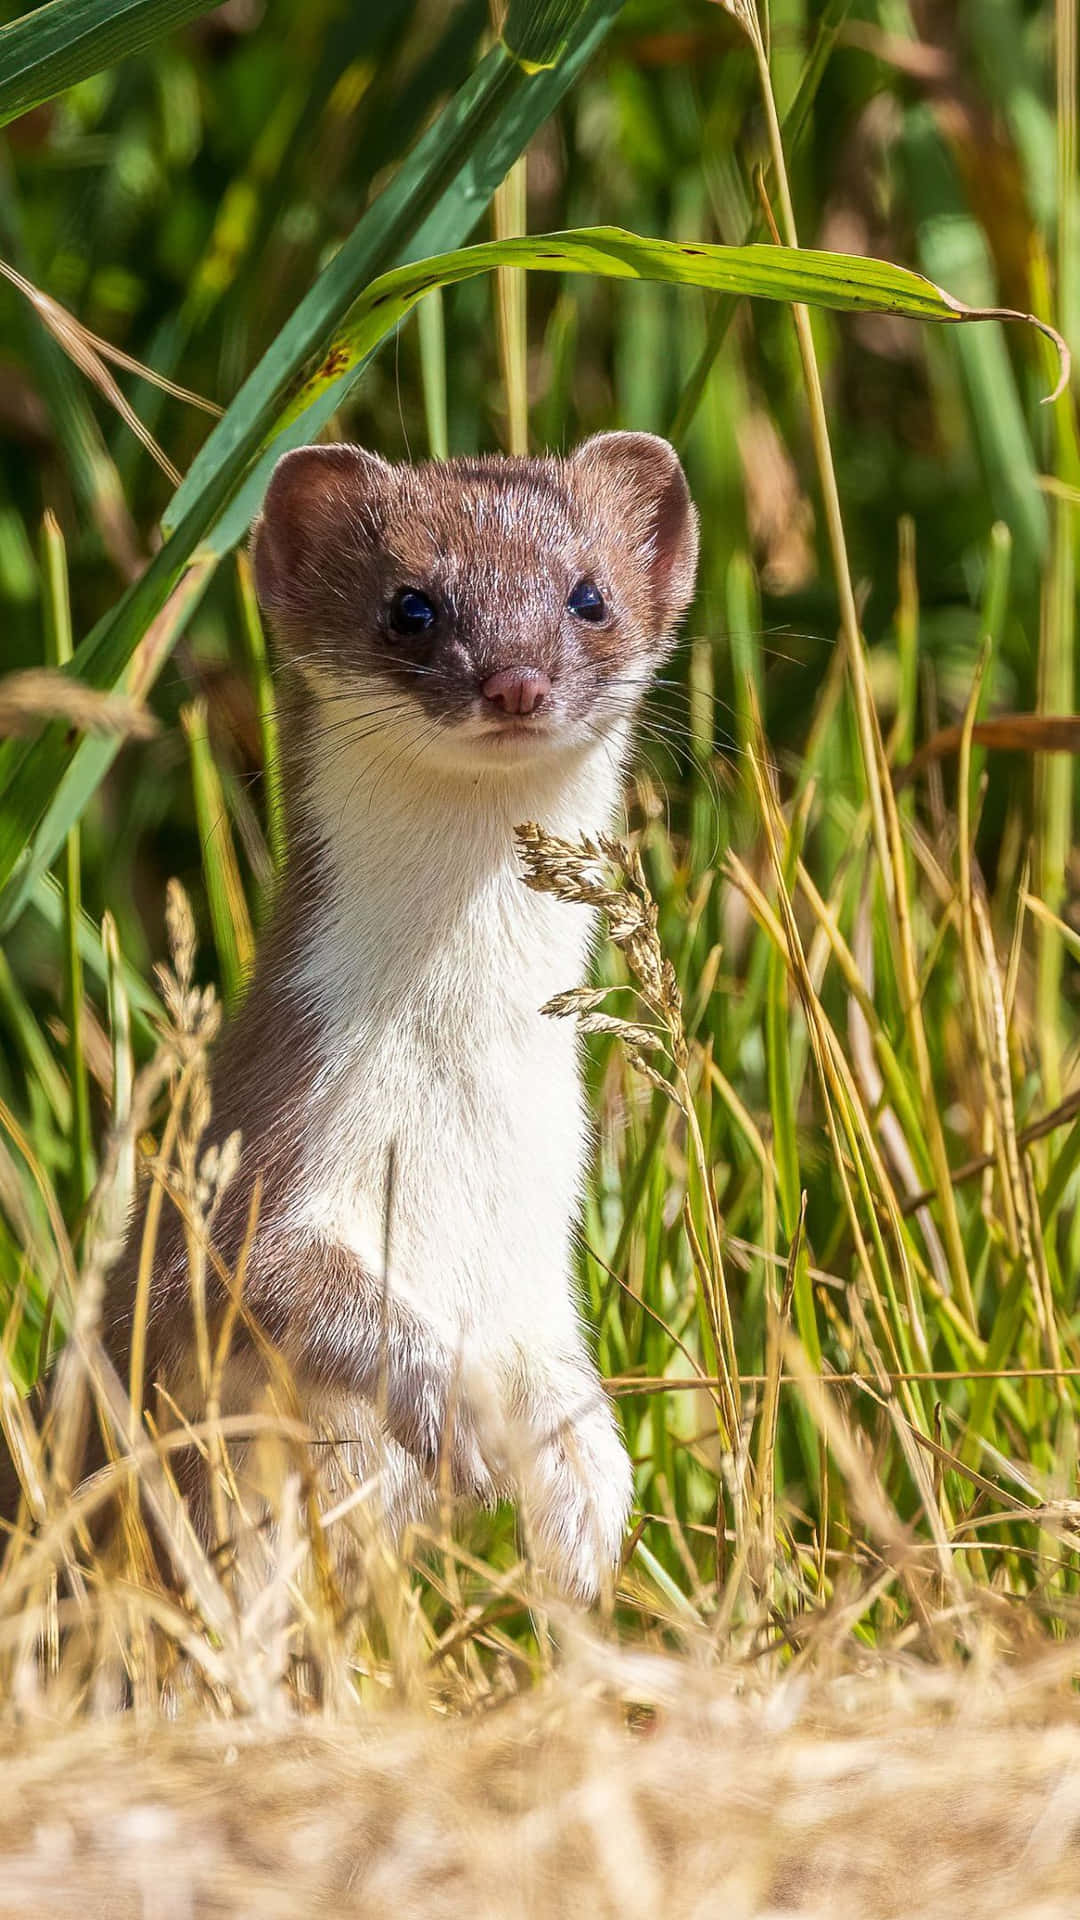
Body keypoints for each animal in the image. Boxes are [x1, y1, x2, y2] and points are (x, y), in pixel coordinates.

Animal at [27, 428, 699, 1597]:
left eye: (589, 596)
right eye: (411, 605)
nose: (515, 680)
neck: (461, 1109)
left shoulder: (540, 1231)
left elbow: (558, 1368)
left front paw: (586, 1500)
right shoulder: (267, 1150)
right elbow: (265, 1280)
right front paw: (452, 1412)